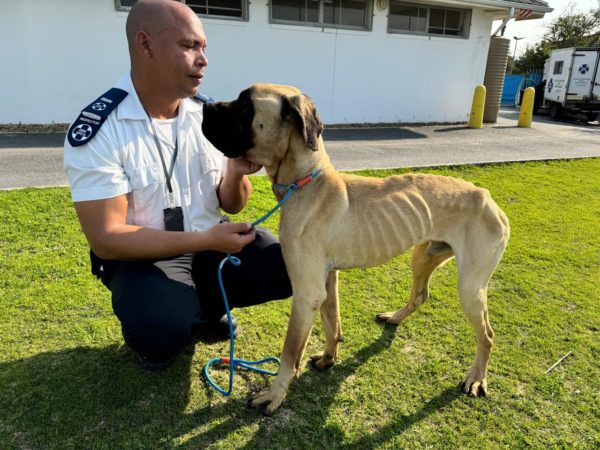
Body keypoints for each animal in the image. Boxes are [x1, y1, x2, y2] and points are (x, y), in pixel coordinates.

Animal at [203, 84, 510, 414]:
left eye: (245, 106)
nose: (204, 107)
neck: (306, 180)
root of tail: (487, 197)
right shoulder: (326, 280)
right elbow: (331, 323)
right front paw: (328, 359)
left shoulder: (306, 293)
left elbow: (290, 351)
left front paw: (275, 394)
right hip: (424, 255)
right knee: (419, 295)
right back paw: (395, 317)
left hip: (471, 287)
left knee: (488, 335)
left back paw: (476, 377)